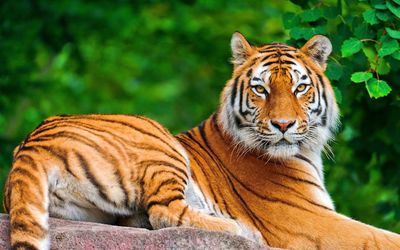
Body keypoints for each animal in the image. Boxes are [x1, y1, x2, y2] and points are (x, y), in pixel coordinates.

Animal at [3, 32, 400, 249]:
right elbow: (379, 237)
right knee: (164, 212)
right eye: (261, 89)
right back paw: (240, 231)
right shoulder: (307, 219)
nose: (283, 125)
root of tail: (31, 144)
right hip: (159, 141)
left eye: (300, 88)